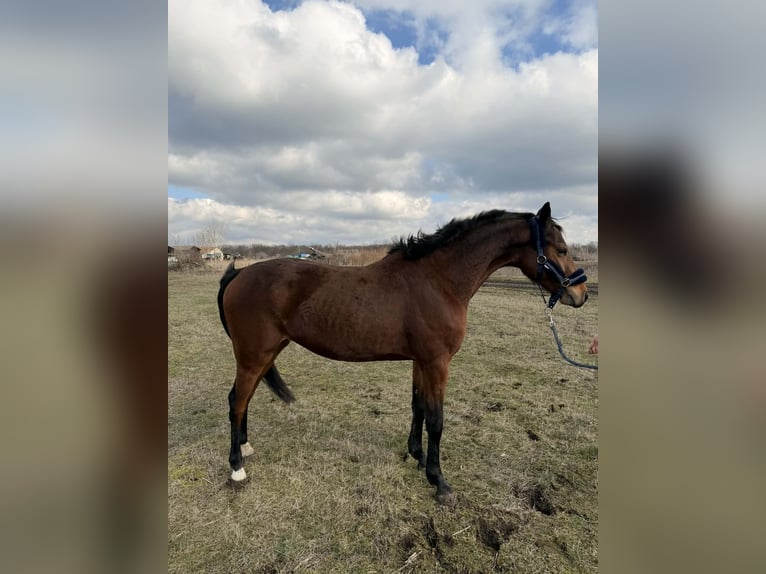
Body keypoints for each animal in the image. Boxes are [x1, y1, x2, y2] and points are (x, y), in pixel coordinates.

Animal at [217, 202, 588, 500]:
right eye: (561, 248)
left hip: (266, 354)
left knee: (244, 398)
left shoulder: (421, 362)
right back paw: (236, 468)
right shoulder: (437, 363)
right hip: (254, 355)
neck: (438, 281)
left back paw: (246, 447)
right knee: (236, 401)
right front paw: (439, 482)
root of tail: (238, 274)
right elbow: (436, 419)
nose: (581, 293)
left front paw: (418, 457)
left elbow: (418, 408)